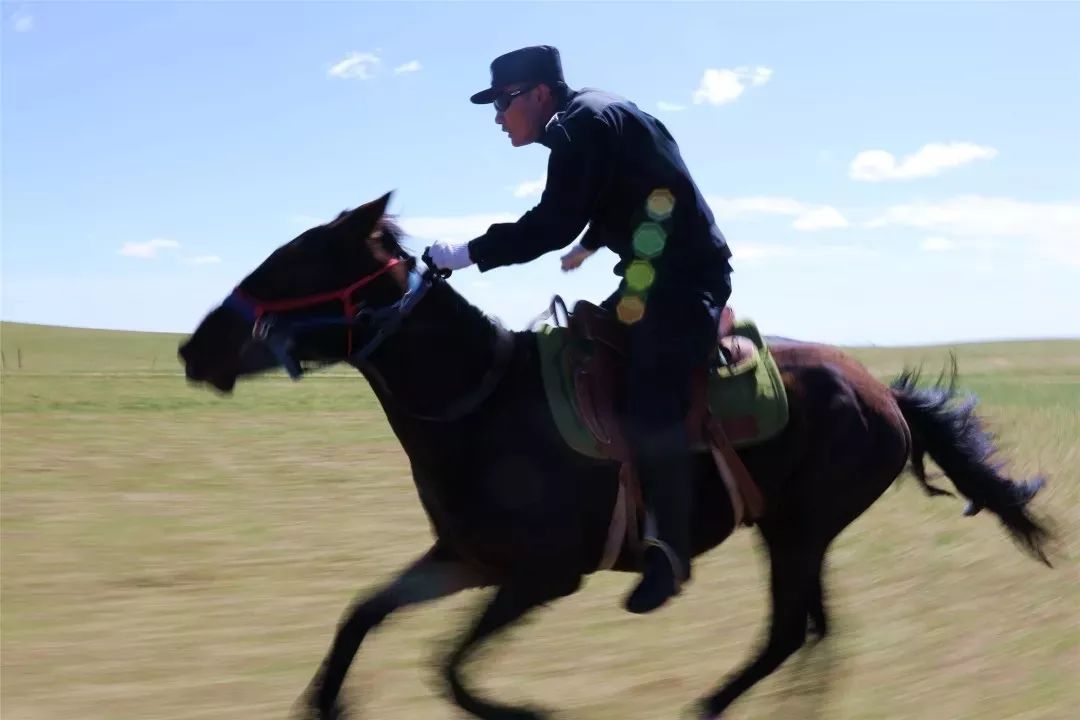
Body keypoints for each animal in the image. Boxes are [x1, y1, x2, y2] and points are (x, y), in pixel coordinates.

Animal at [179, 193, 1054, 720]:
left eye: (294, 262)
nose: (195, 349)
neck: (483, 405)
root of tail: (884, 396)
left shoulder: (541, 577)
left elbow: (449, 667)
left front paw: (526, 711)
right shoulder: (464, 559)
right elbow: (364, 614)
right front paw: (327, 700)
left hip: (799, 531)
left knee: (787, 632)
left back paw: (705, 707)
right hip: (794, 533)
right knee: (813, 630)